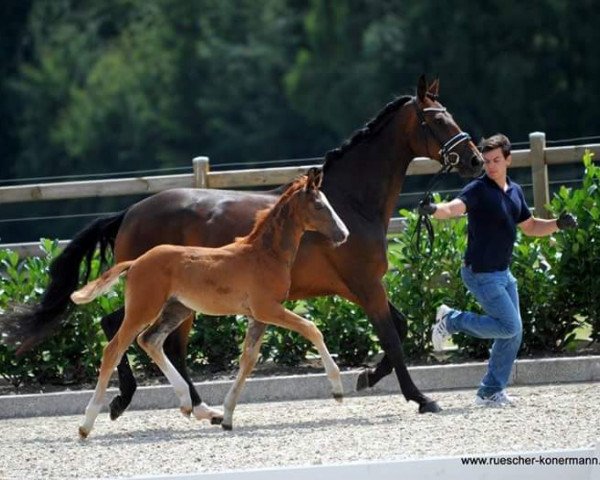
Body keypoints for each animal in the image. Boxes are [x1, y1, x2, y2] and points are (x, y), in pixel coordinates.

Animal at [72, 168, 350, 436]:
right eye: (319, 205)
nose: (343, 234)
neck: (264, 255)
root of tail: (136, 262)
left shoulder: (258, 316)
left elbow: (248, 360)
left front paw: (227, 417)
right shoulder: (268, 308)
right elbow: (311, 328)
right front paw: (337, 389)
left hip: (177, 308)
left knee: (149, 340)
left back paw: (188, 404)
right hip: (143, 308)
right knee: (114, 349)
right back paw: (87, 424)